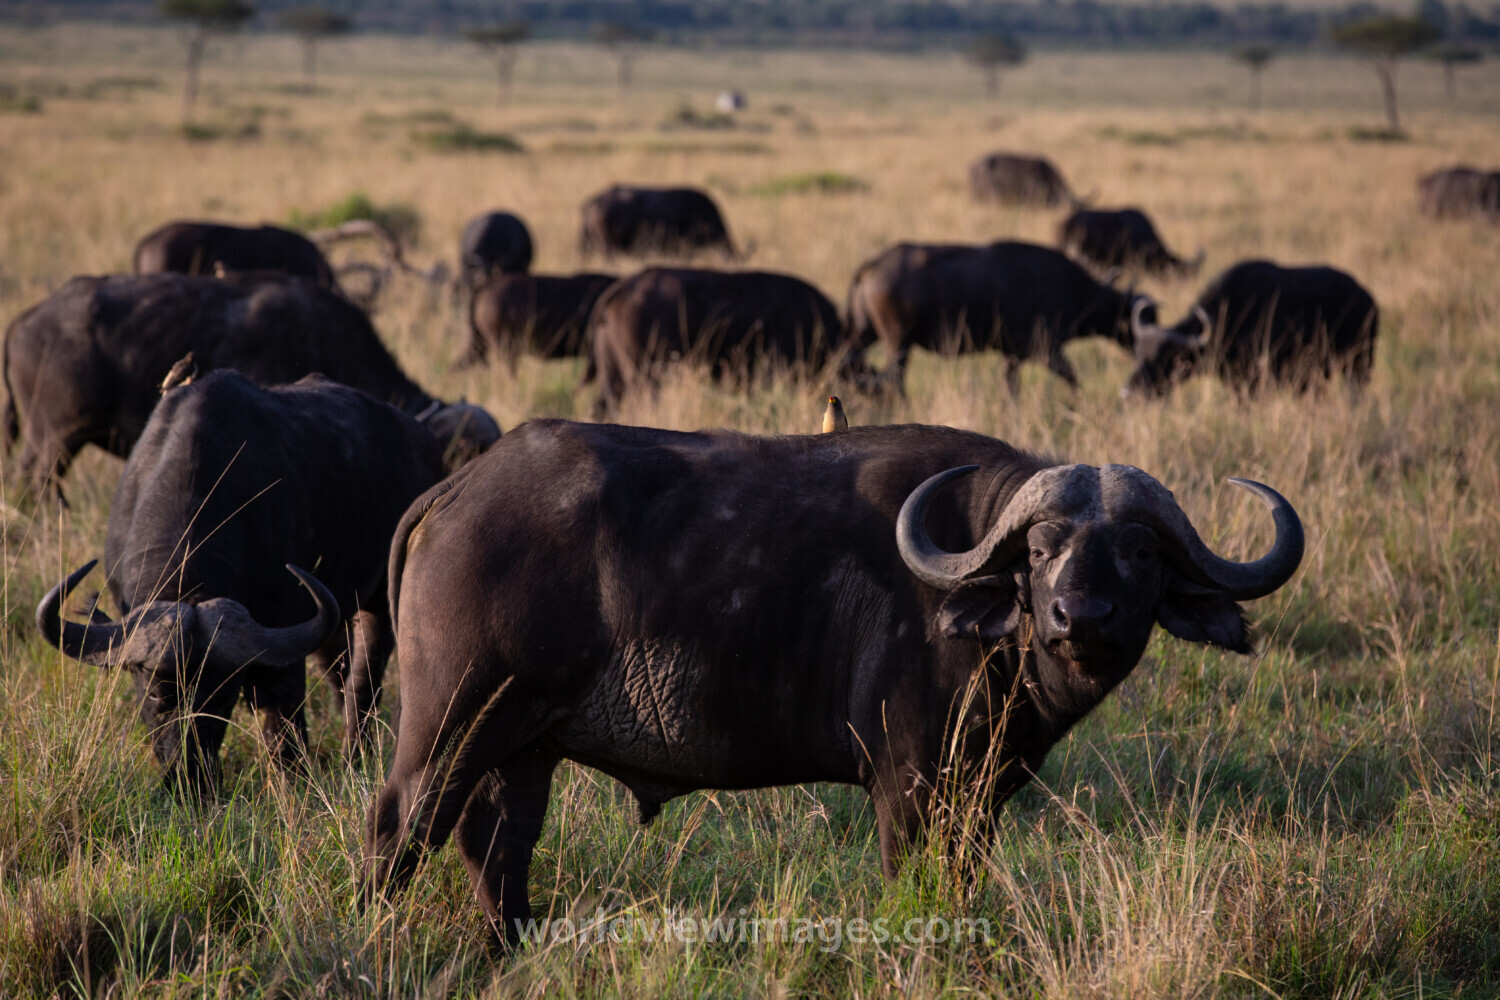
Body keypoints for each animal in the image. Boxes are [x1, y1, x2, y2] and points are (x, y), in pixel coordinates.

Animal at [37, 371, 466, 787]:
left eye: (221, 699)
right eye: (157, 695)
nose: (188, 777)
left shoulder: (282, 653)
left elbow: (283, 729)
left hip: (381, 602)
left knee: (364, 680)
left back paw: (354, 756)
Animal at [363, 419, 1303, 942]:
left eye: (1140, 552)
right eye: (1040, 551)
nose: (1082, 616)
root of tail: (457, 489)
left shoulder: (977, 801)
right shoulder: (910, 789)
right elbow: (918, 889)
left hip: (522, 747)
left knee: (495, 847)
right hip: (448, 727)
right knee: (398, 829)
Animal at [846, 241, 1152, 393]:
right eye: (1134, 318)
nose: (1141, 350)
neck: (1070, 288)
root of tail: (875, 264)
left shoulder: (1012, 357)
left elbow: (1010, 390)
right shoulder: (1045, 351)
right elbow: (1073, 380)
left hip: (866, 336)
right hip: (898, 344)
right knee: (894, 381)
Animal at [1125, 260, 1378, 396]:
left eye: (1163, 360)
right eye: (1138, 355)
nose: (1128, 393)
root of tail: (1368, 299)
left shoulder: (1255, 382)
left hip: (1360, 365)